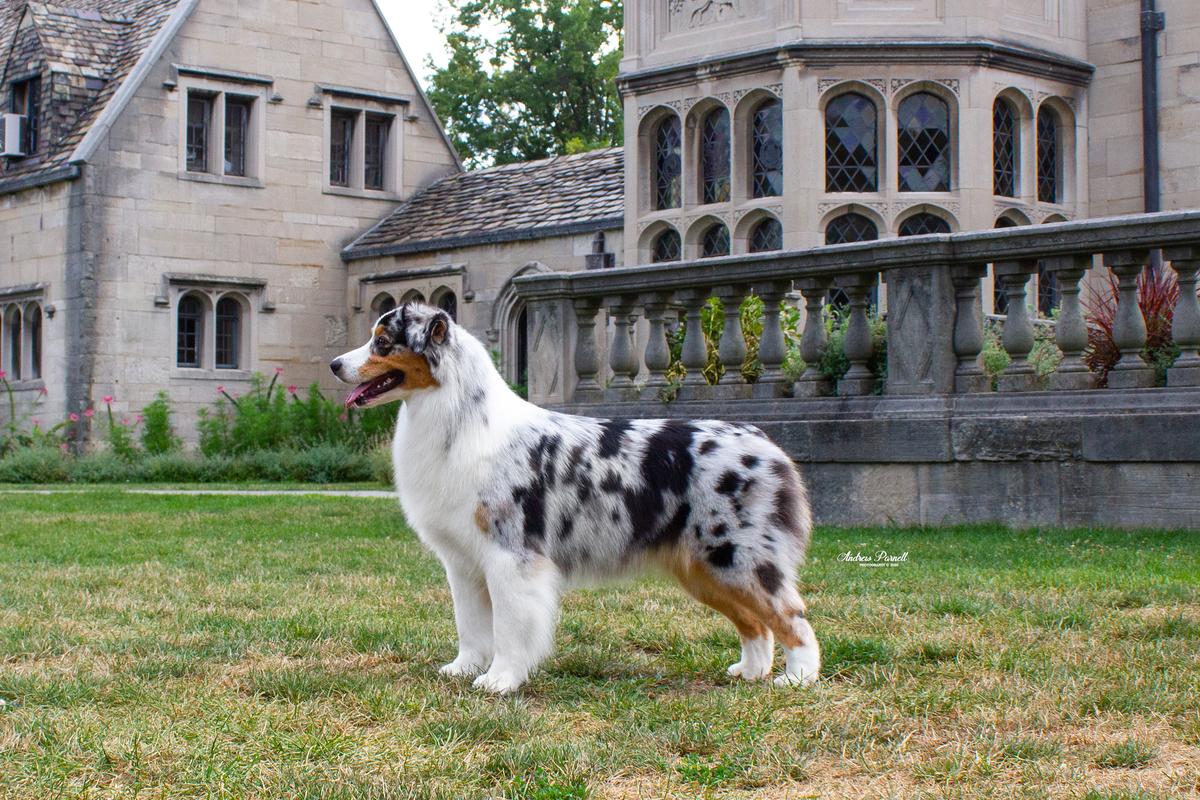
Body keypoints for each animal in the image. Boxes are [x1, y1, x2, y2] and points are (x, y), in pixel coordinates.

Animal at [328, 303, 820, 690]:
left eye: (382, 342)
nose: (334, 364)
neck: (459, 419)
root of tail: (764, 440)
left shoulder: (511, 555)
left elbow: (508, 627)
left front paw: (499, 680)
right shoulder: (463, 562)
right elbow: (470, 625)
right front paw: (463, 669)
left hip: (738, 555)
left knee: (792, 616)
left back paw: (797, 677)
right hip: (703, 568)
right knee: (756, 623)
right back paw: (750, 671)